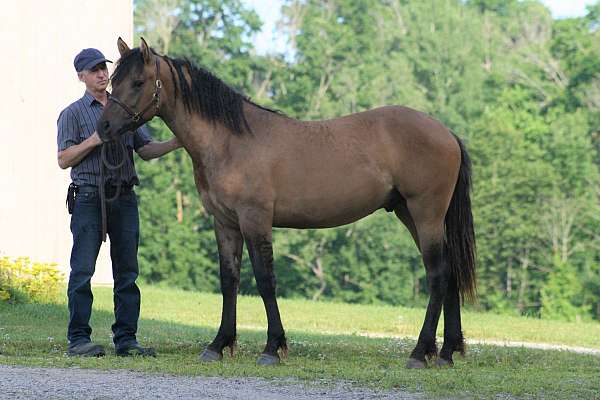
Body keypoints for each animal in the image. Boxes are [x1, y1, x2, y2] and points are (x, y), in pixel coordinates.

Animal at [96, 38, 476, 368]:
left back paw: (420, 353)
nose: (104, 128)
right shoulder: (225, 224)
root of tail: (447, 133)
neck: (230, 141)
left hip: (425, 214)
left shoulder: (255, 221)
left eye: (138, 81)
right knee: (449, 272)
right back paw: (446, 352)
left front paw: (272, 347)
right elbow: (229, 281)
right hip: (409, 213)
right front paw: (219, 345)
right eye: (113, 80)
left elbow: (265, 280)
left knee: (438, 274)